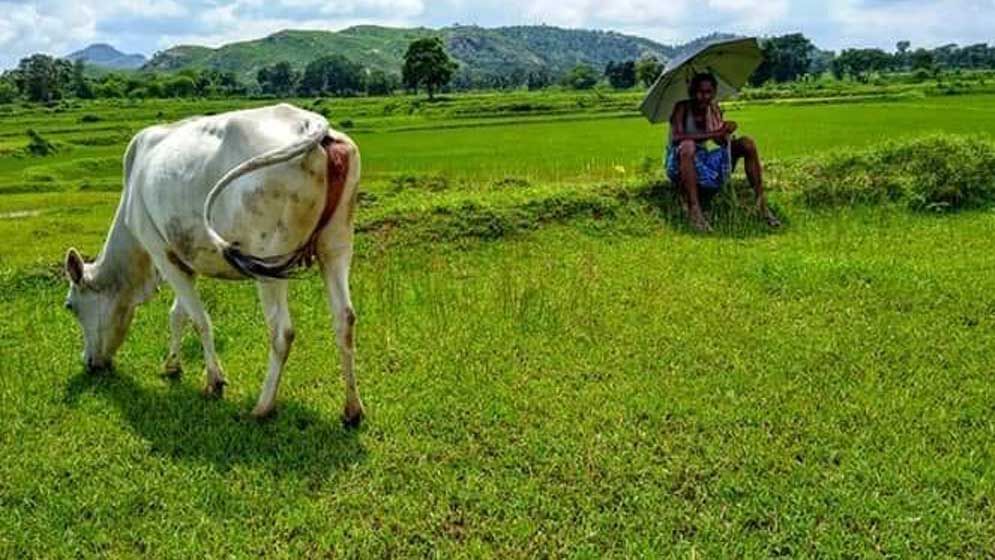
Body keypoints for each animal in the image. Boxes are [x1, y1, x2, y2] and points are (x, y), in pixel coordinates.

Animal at [63, 103, 366, 422]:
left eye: (70, 306)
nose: (89, 362)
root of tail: (307, 123)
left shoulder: (161, 252)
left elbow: (200, 320)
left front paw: (214, 381)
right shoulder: (186, 258)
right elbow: (178, 314)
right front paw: (172, 365)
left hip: (269, 260)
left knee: (282, 332)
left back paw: (263, 406)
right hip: (335, 245)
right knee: (344, 319)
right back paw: (352, 410)